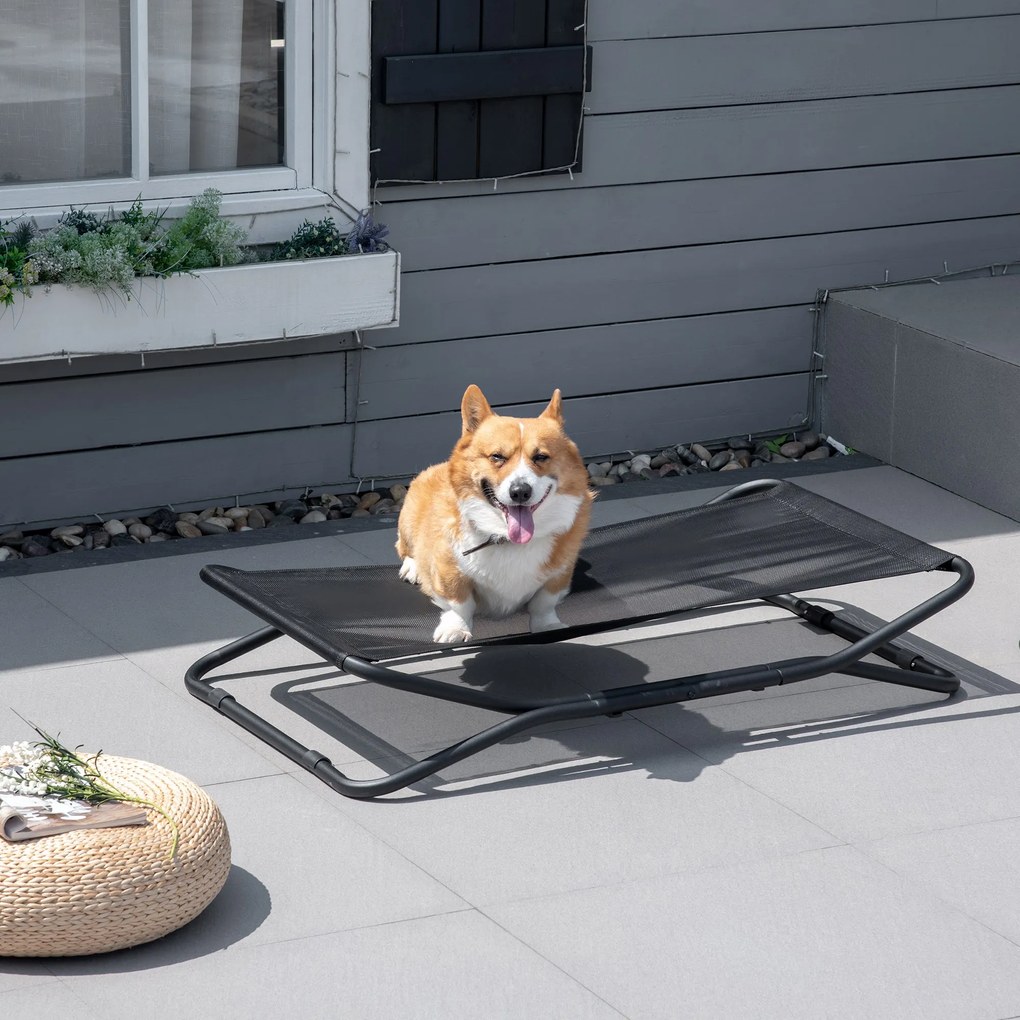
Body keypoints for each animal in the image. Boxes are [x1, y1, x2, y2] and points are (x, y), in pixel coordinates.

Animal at [393, 385, 595, 640]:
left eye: (541, 457)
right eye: (497, 456)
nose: (520, 492)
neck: (505, 537)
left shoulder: (559, 574)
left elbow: (544, 604)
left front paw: (548, 626)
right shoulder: (450, 570)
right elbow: (459, 604)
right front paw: (455, 629)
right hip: (407, 520)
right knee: (404, 547)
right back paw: (412, 567)